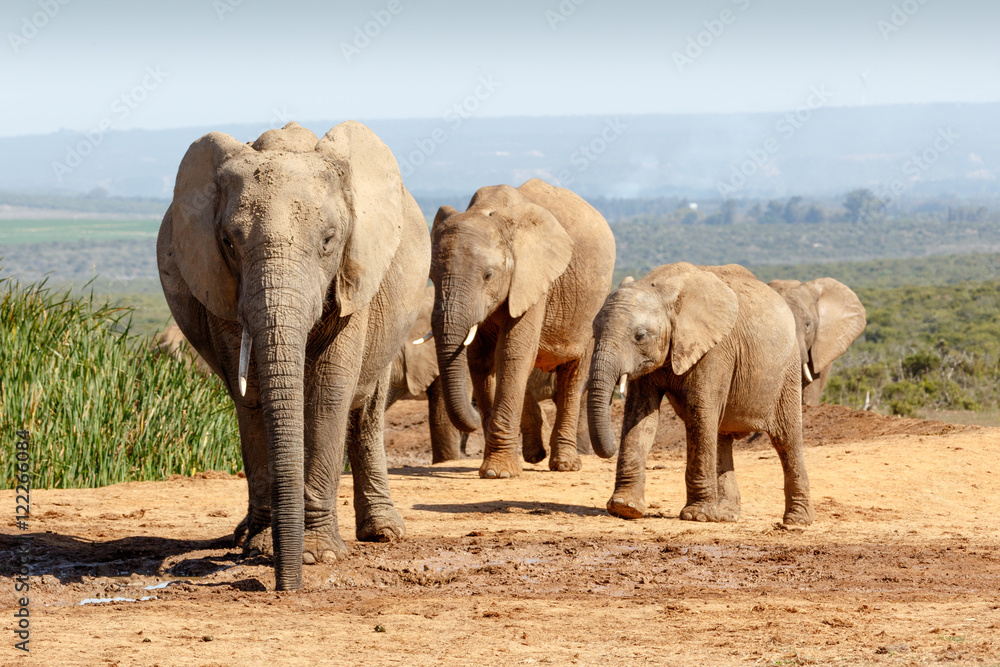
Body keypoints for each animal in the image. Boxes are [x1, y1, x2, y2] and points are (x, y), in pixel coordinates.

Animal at [156, 121, 430, 590]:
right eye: (228, 242)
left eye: (329, 240)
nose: (283, 587)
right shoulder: (223, 292)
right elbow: (251, 398)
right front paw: (261, 549)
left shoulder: (353, 277)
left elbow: (328, 395)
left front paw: (318, 555)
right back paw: (244, 536)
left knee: (366, 410)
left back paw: (384, 533)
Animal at [428, 178, 616, 478]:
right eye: (431, 277)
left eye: (488, 275)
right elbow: (482, 360)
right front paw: (496, 467)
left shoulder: (533, 278)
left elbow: (512, 353)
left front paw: (498, 473)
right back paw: (534, 454)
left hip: (591, 309)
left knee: (573, 375)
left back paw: (565, 465)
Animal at [587, 262, 813, 526]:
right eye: (593, 333)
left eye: (640, 336)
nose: (610, 446)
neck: (662, 287)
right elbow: (640, 416)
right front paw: (625, 508)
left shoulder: (716, 349)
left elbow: (699, 412)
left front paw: (697, 516)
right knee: (720, 435)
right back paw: (725, 516)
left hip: (787, 370)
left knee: (786, 440)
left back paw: (796, 521)